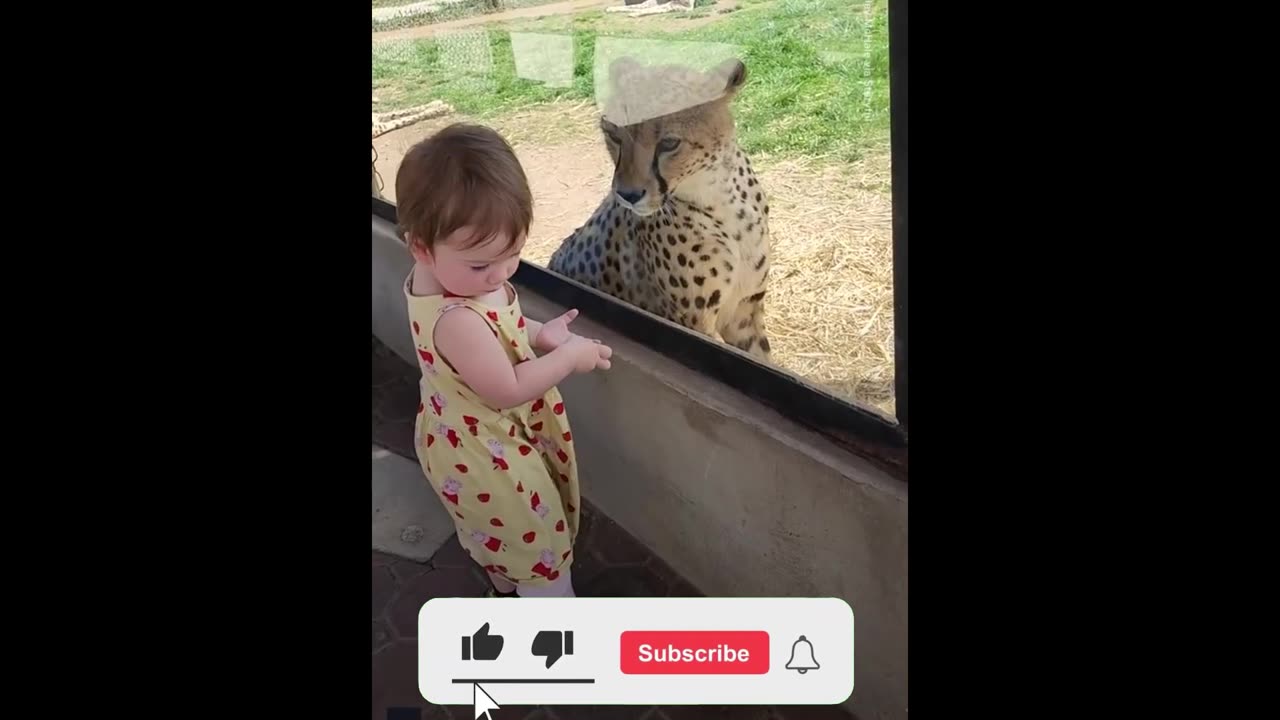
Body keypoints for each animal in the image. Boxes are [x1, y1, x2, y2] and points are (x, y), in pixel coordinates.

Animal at [547, 57, 773, 358]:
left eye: (669, 143)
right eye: (613, 135)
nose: (628, 195)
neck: (719, 197)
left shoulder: (744, 310)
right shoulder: (693, 324)